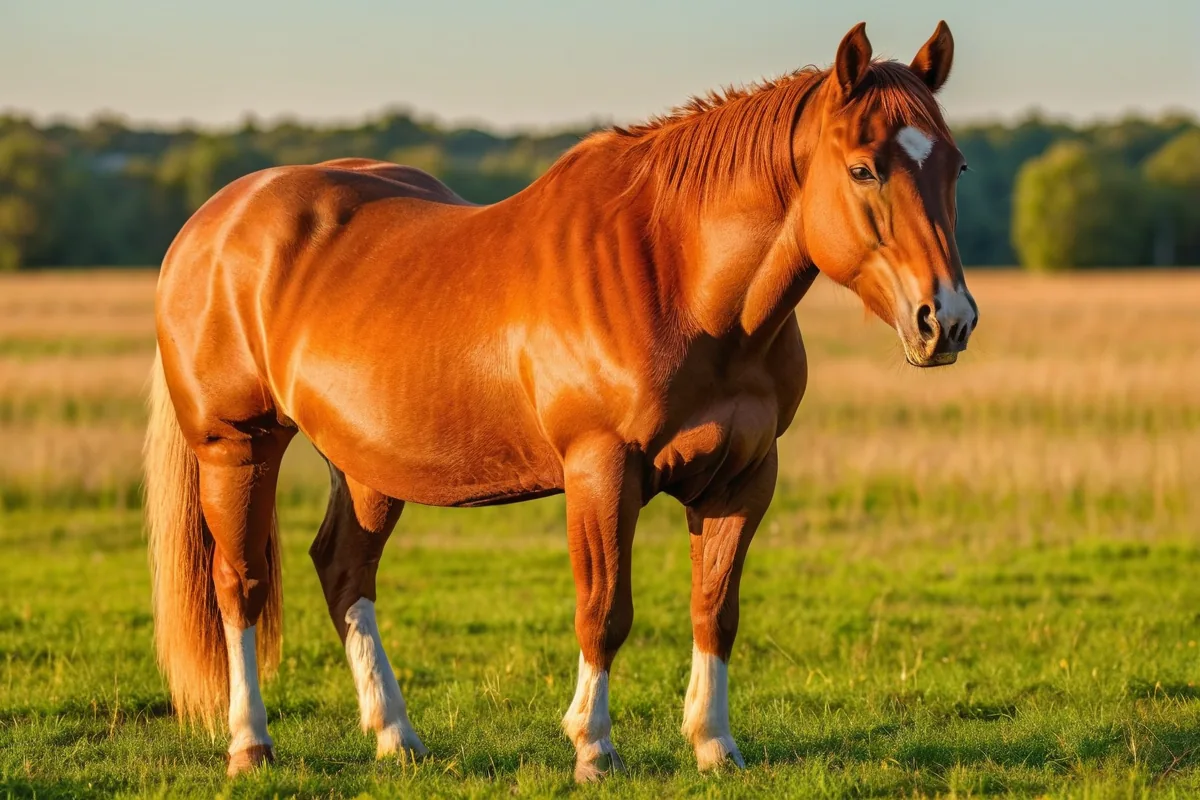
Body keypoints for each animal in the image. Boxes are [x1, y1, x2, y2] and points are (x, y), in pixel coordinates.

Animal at [144, 20, 976, 781]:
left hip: (366, 465)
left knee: (344, 571)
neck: (679, 277)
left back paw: (396, 737)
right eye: (864, 169)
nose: (947, 320)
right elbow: (604, 611)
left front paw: (715, 746)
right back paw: (250, 744)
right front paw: (594, 748)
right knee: (240, 584)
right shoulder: (601, 470)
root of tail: (211, 225)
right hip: (238, 446)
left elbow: (715, 609)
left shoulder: (744, 478)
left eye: (957, 166)